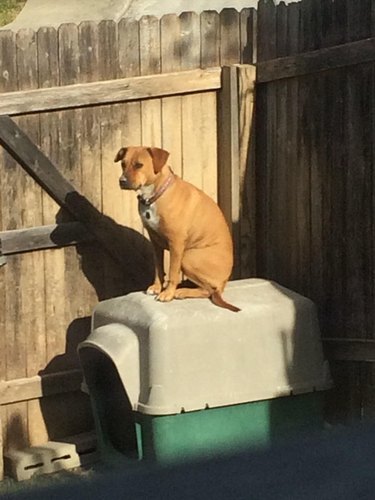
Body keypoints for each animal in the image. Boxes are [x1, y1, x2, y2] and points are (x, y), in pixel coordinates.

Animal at [113, 146, 241, 312]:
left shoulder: (176, 243)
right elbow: (158, 268)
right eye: (123, 164)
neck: (155, 195)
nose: (122, 181)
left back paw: (182, 291)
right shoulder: (155, 242)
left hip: (188, 258)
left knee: (208, 290)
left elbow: (173, 272)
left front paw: (167, 293)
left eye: (139, 165)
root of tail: (224, 283)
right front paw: (156, 287)